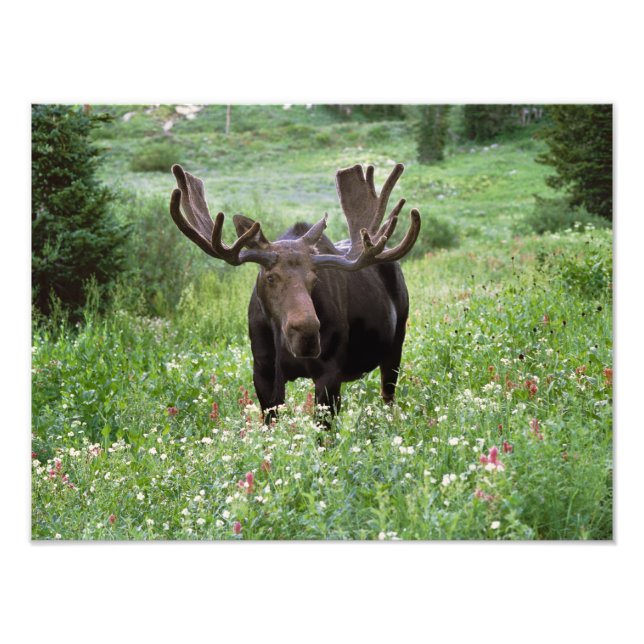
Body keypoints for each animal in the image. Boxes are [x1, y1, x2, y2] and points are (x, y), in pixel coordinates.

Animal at [169, 162, 421, 424]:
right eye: (270, 277)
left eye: (315, 278)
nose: (307, 333)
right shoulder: (263, 371)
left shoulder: (330, 373)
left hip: (396, 344)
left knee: (388, 396)